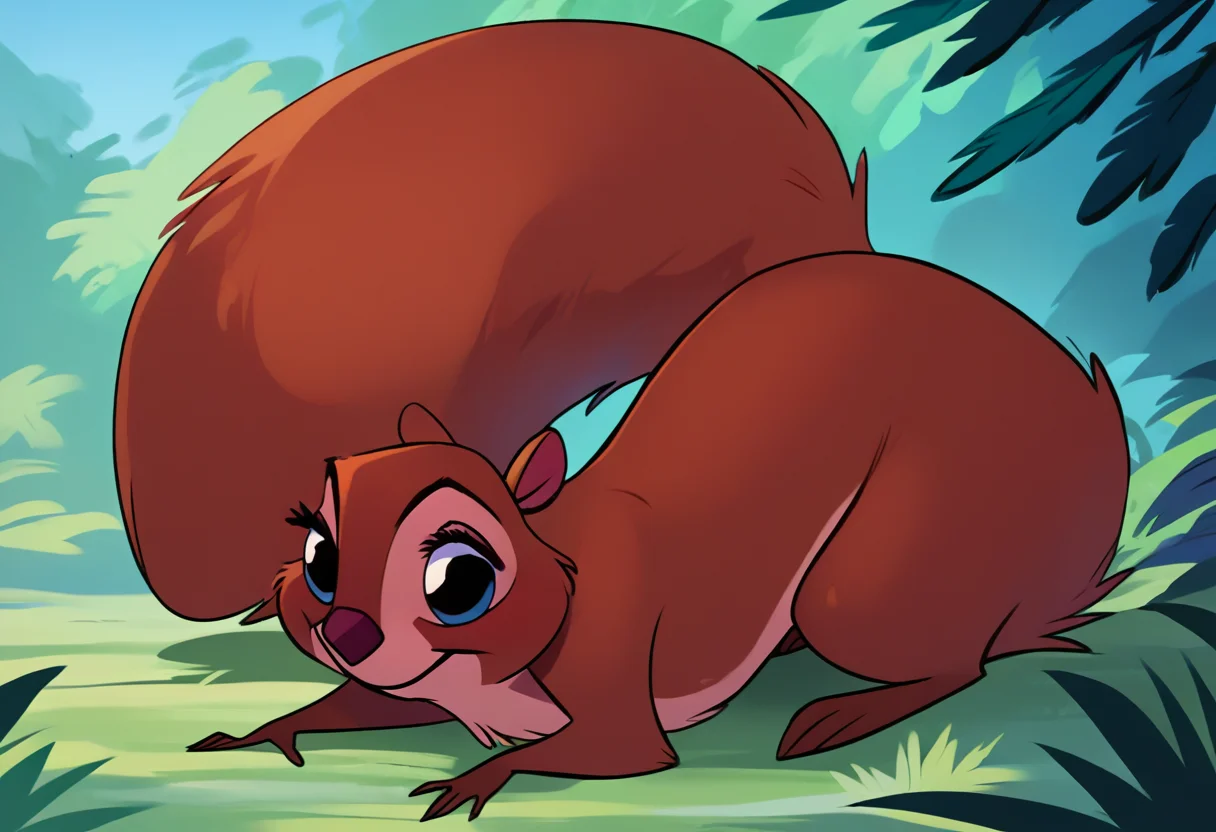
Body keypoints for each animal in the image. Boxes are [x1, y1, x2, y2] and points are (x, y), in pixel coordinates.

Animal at [187, 252, 1130, 822]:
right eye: (319, 556)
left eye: (462, 580)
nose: (343, 630)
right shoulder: (416, 685)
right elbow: (362, 701)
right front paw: (266, 730)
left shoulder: (612, 667)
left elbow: (606, 750)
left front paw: (471, 779)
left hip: (870, 581)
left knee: (957, 662)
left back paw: (842, 712)